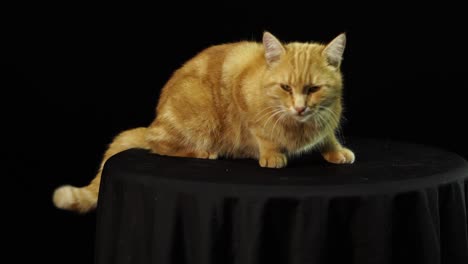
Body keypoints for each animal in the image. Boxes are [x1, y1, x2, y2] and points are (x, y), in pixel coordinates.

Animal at [53, 31, 354, 212]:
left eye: (313, 89)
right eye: (286, 88)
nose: (300, 108)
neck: (300, 126)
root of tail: (154, 121)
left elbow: (327, 136)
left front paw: (336, 150)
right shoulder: (243, 98)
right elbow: (262, 133)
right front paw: (271, 154)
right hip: (198, 117)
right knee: (159, 145)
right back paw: (203, 152)